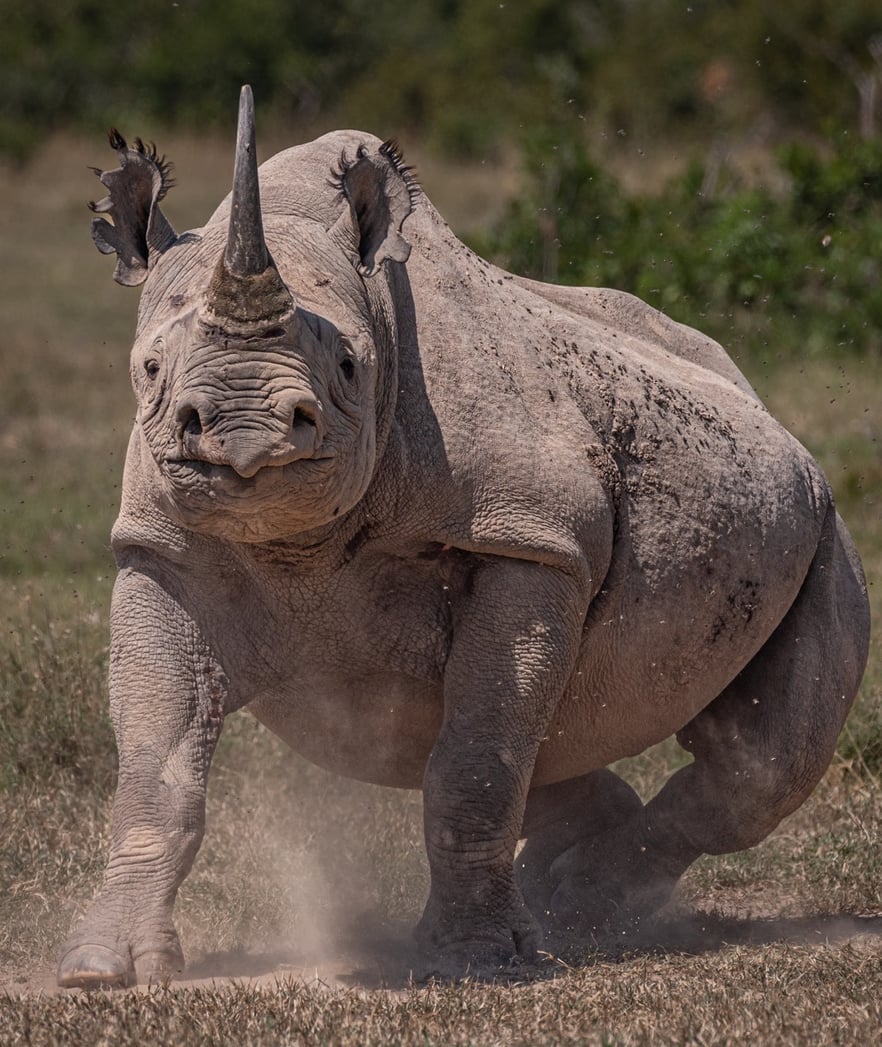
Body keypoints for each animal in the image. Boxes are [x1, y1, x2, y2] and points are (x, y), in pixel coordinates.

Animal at [58, 85, 871, 984]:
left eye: (349, 367)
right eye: (149, 369)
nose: (244, 435)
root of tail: (766, 408)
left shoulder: (530, 540)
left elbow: (477, 759)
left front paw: (475, 958)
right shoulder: (160, 545)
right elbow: (156, 768)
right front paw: (101, 968)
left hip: (822, 523)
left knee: (760, 762)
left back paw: (582, 901)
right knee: (548, 741)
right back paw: (563, 887)